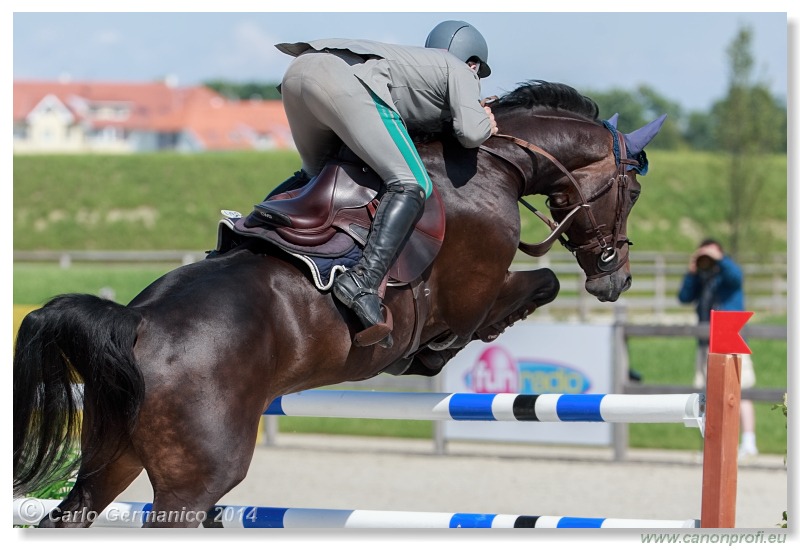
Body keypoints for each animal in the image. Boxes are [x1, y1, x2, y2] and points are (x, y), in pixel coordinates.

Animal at [14, 80, 664, 528]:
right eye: (632, 190)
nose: (616, 280)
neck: (493, 164)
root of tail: (135, 320)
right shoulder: (472, 296)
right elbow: (536, 287)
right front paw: (431, 357)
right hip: (193, 484)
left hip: (110, 459)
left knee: (72, 513)